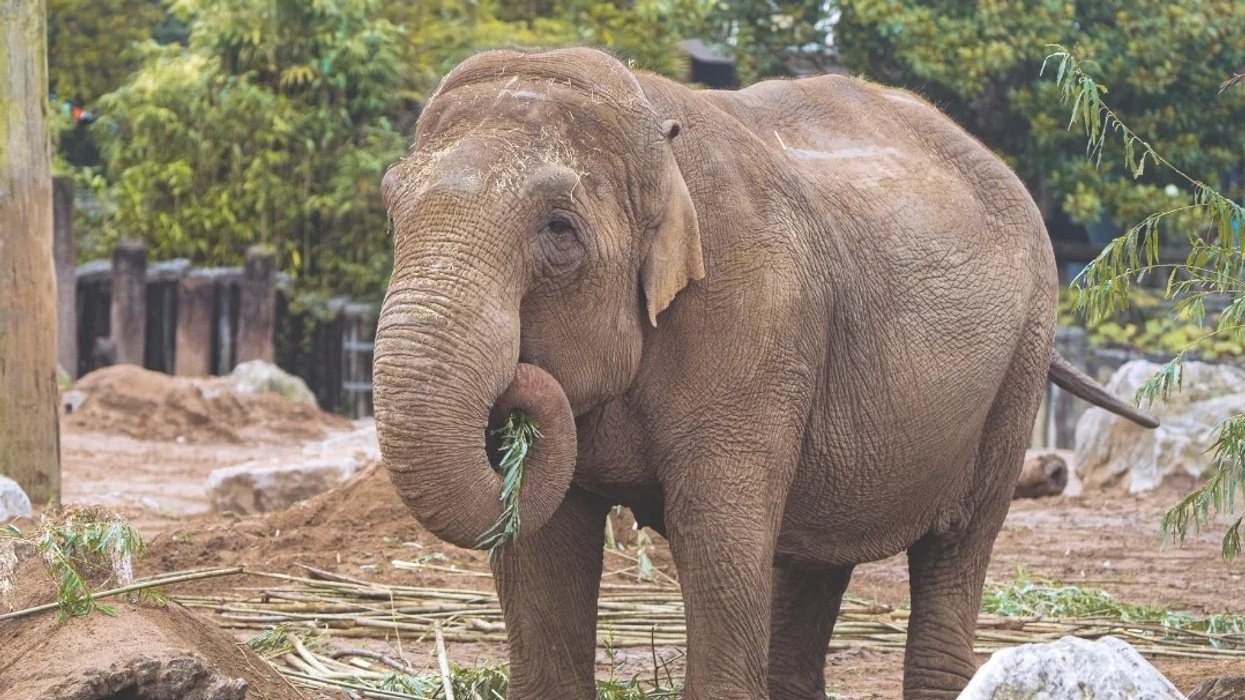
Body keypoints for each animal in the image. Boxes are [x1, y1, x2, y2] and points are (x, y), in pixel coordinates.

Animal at [373, 47, 1158, 700]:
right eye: (391, 206)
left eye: (558, 230)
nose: (516, 385)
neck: (657, 139)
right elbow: (538, 546)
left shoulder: (755, 316)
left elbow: (716, 536)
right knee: (813, 558)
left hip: (1021, 357)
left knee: (956, 545)